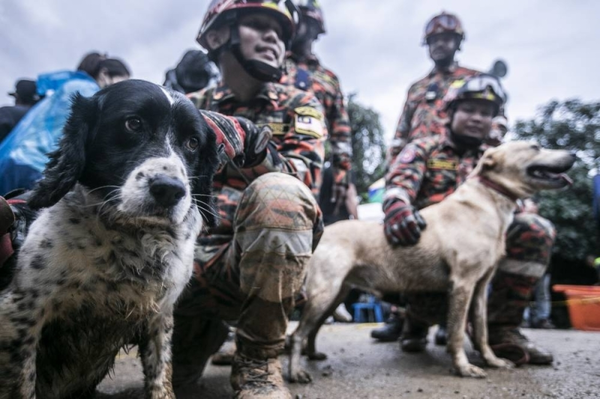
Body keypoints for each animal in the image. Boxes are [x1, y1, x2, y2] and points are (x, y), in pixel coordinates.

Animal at [0, 79, 221, 398]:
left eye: (193, 142)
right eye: (133, 123)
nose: (169, 190)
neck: (130, 241)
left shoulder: (160, 317)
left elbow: (161, 378)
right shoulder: (18, 314)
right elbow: (22, 385)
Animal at [290, 143, 576, 382]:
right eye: (535, 147)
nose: (573, 154)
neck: (487, 204)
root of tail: (322, 232)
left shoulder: (480, 288)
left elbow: (481, 331)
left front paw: (492, 360)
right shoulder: (462, 284)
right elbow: (457, 332)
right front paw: (464, 367)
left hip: (337, 294)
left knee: (312, 330)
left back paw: (312, 354)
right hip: (324, 293)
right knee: (297, 334)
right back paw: (296, 372)